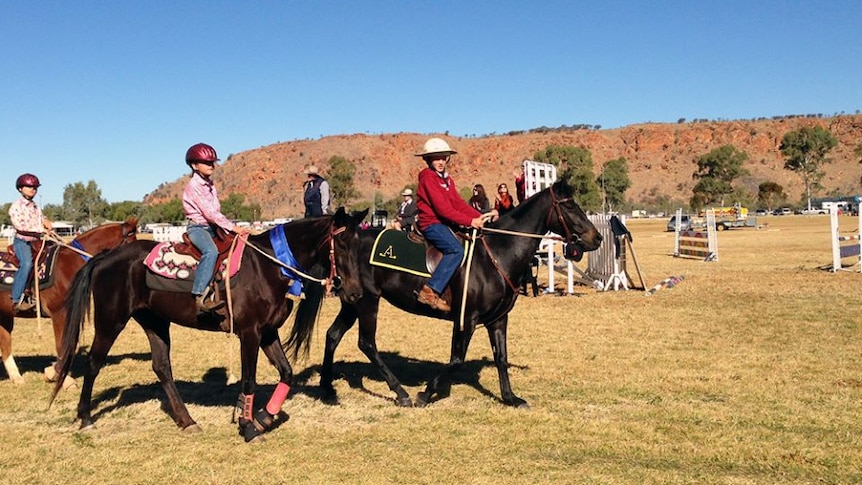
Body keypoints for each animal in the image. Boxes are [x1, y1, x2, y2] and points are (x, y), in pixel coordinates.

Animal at [0, 217, 138, 384]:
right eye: (132, 242)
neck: (69, 265)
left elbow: (70, 344)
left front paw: (54, 372)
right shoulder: (59, 313)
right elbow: (62, 345)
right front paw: (61, 378)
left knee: (5, 343)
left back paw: (16, 377)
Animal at [49, 206, 368, 440]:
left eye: (359, 245)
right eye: (340, 243)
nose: (355, 293)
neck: (269, 266)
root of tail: (106, 257)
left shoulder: (268, 332)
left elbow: (287, 373)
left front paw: (264, 418)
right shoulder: (250, 334)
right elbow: (249, 380)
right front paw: (248, 426)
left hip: (154, 321)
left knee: (162, 367)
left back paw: (186, 420)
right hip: (110, 320)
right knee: (94, 363)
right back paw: (86, 417)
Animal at [320, 180, 604, 406]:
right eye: (569, 206)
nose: (597, 238)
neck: (497, 253)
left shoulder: (498, 319)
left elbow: (501, 358)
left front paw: (510, 398)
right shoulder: (466, 318)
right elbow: (457, 360)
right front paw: (425, 394)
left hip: (352, 302)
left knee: (332, 335)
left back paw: (326, 389)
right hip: (368, 302)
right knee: (366, 343)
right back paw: (401, 393)